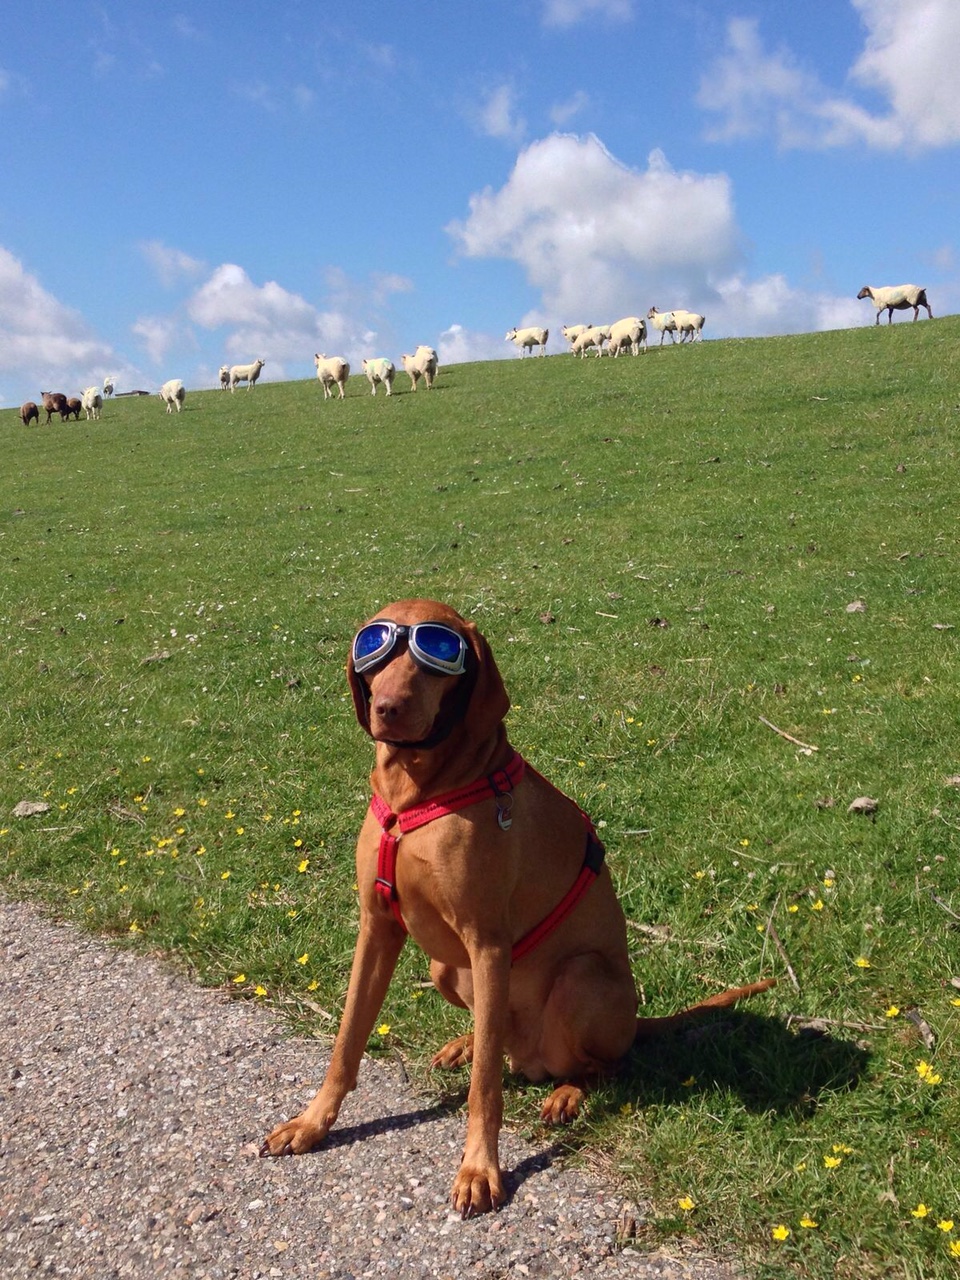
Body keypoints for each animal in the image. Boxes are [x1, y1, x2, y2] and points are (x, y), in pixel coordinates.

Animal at [261, 599, 773, 1218]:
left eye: (437, 652)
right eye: (373, 648)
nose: (388, 709)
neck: (416, 794)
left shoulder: (488, 943)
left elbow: (485, 1089)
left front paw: (479, 1170)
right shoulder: (377, 927)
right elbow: (345, 1042)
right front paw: (313, 1123)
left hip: (581, 979)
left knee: (599, 1065)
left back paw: (566, 1091)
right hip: (445, 967)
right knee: (496, 1040)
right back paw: (465, 1043)